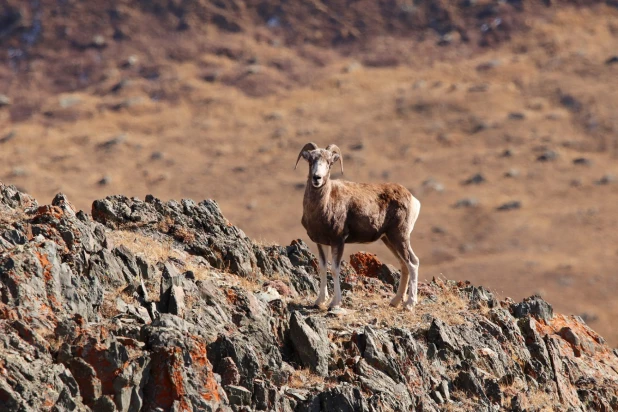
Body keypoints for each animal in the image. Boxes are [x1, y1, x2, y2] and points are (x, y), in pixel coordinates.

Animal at [292, 143, 418, 310]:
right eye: (311, 160)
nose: (317, 178)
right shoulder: (322, 243)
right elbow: (323, 268)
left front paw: (335, 303)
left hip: (400, 237)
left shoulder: (338, 241)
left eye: (329, 163)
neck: (324, 204)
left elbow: (335, 269)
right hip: (389, 240)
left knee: (412, 263)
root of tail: (413, 199)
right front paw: (319, 301)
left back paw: (409, 304)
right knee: (404, 265)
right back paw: (395, 301)